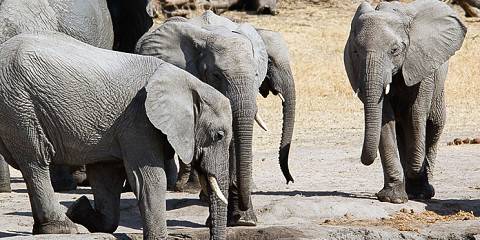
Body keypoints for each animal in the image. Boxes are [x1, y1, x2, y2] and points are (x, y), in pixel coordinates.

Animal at [0, 31, 232, 240]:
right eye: (219, 135)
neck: (188, 82)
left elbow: (106, 178)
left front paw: (79, 208)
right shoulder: (138, 120)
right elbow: (150, 179)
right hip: (20, 105)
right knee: (36, 161)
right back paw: (62, 228)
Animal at [344, 0, 466, 202]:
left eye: (394, 50)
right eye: (355, 51)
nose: (365, 160)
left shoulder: (422, 63)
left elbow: (416, 113)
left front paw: (416, 185)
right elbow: (385, 118)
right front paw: (392, 198)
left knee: (434, 125)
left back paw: (423, 191)